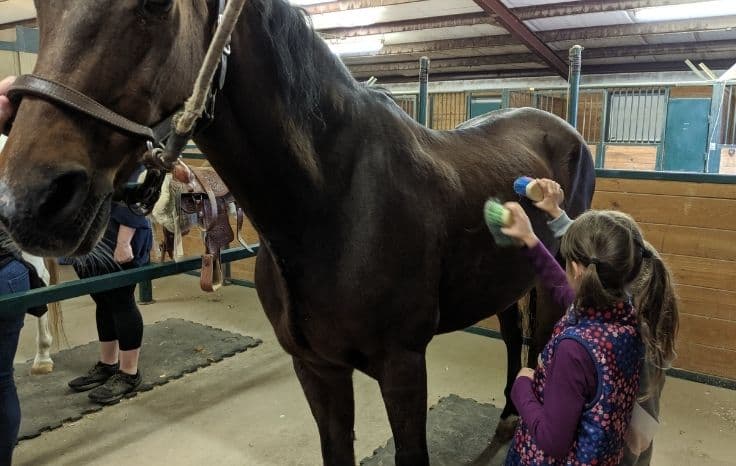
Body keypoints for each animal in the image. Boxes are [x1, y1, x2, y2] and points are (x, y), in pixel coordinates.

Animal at [0, 1, 596, 464]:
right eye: (44, 10)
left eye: (156, 4)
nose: (29, 201)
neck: (333, 202)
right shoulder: (316, 368)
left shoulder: (403, 365)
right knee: (513, 335)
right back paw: (507, 414)